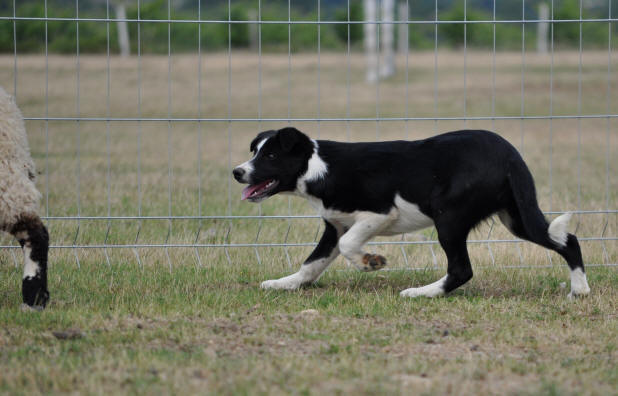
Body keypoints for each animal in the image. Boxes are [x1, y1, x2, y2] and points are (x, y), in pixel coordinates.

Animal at [232, 127, 588, 296]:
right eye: (255, 152)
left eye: (272, 156)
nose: (237, 172)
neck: (319, 167)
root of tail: (509, 155)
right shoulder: (336, 226)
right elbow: (312, 264)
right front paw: (286, 284)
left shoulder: (377, 214)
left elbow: (349, 246)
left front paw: (370, 261)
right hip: (516, 217)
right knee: (568, 240)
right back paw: (580, 290)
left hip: (449, 217)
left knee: (461, 269)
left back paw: (422, 293)